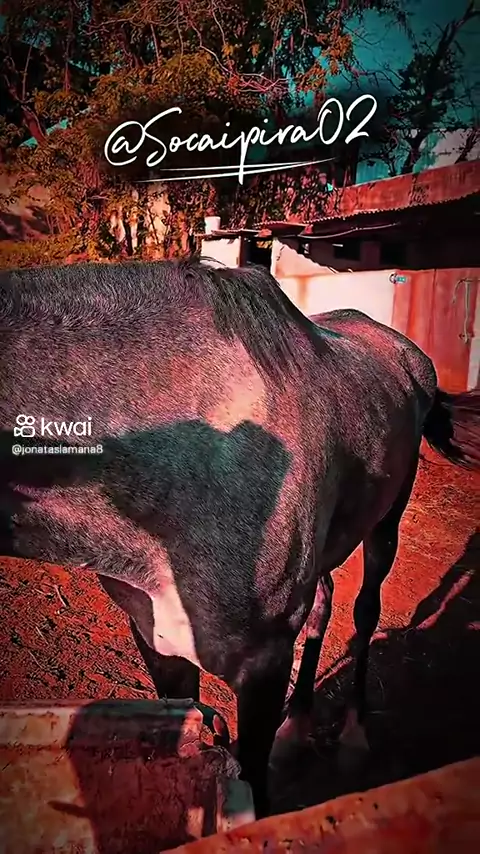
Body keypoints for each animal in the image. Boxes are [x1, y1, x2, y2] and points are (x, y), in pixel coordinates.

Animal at [1, 259, 479, 818]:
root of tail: (407, 355)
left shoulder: (263, 663)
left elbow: (253, 776)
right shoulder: (158, 641)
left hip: (387, 521)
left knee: (366, 612)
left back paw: (354, 731)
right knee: (323, 603)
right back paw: (298, 723)